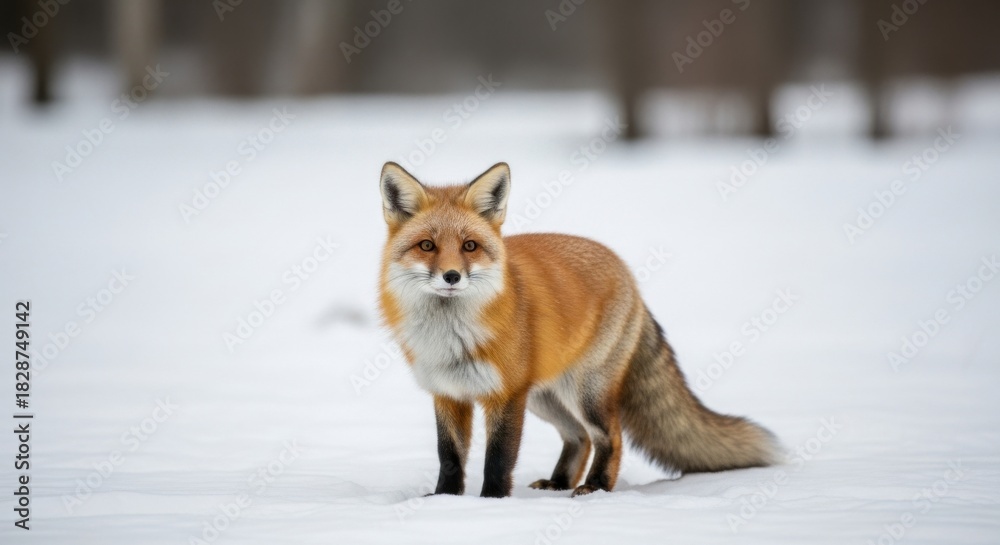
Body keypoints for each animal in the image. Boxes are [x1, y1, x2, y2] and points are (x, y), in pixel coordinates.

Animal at [377, 161, 780, 498]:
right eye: (427, 245)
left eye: (469, 246)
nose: (451, 276)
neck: (451, 337)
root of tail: (626, 272)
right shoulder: (448, 393)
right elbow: (449, 456)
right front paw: (444, 500)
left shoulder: (506, 395)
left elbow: (499, 459)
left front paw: (493, 502)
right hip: (546, 397)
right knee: (579, 437)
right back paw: (559, 483)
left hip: (585, 391)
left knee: (609, 436)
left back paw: (597, 487)